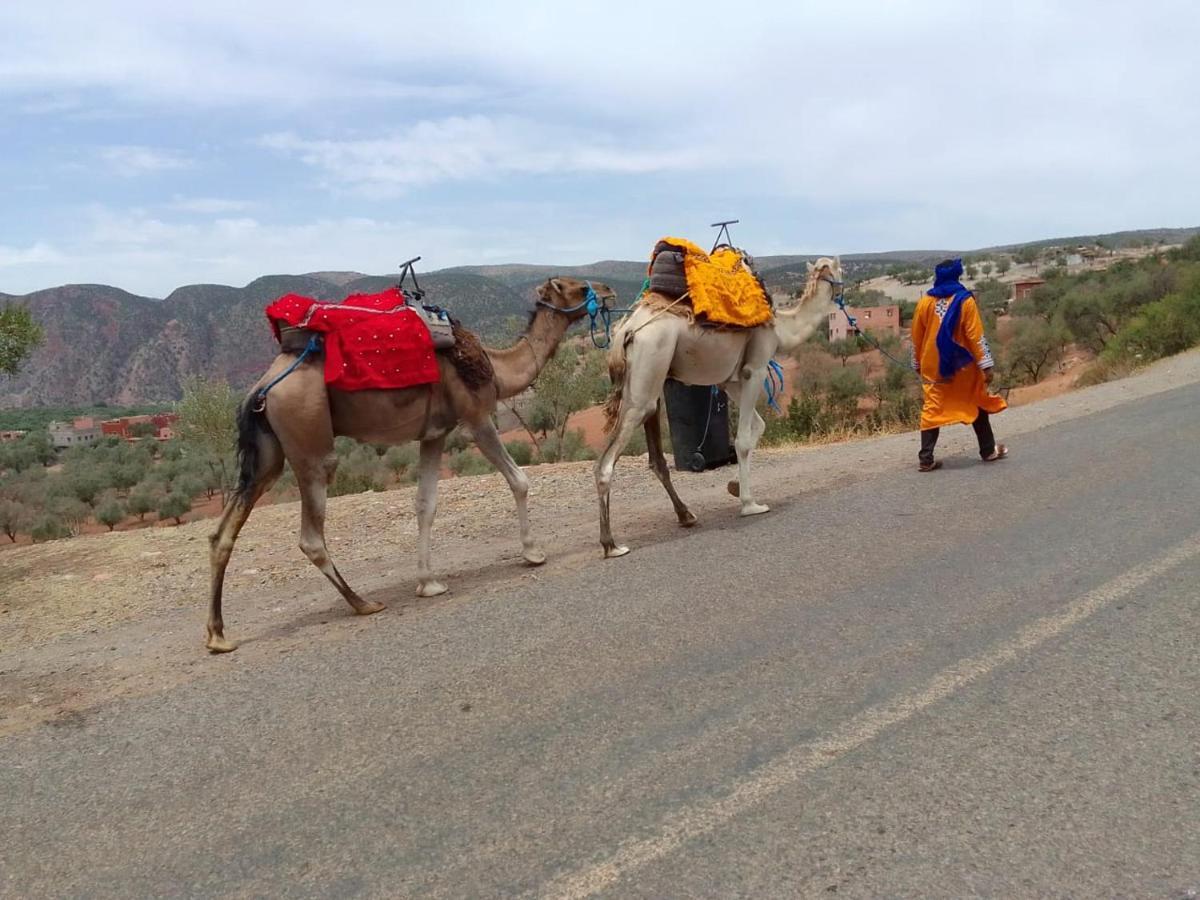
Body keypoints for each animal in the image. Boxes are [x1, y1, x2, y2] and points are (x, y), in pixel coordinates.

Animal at [205, 278, 609, 652]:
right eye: (575, 286)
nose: (608, 292)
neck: (495, 366)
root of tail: (261, 386)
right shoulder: (476, 417)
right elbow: (519, 480)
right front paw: (533, 552)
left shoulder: (435, 433)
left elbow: (425, 505)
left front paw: (428, 583)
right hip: (308, 435)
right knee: (311, 533)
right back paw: (362, 602)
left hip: (268, 453)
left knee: (224, 531)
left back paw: (218, 635)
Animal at [592, 255, 844, 556]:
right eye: (841, 269)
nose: (841, 293)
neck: (782, 327)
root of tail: (625, 331)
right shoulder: (755, 368)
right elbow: (743, 440)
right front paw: (749, 503)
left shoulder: (729, 380)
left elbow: (759, 426)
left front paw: (734, 486)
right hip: (648, 365)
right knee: (607, 461)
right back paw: (611, 544)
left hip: (650, 379)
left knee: (656, 457)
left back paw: (686, 516)